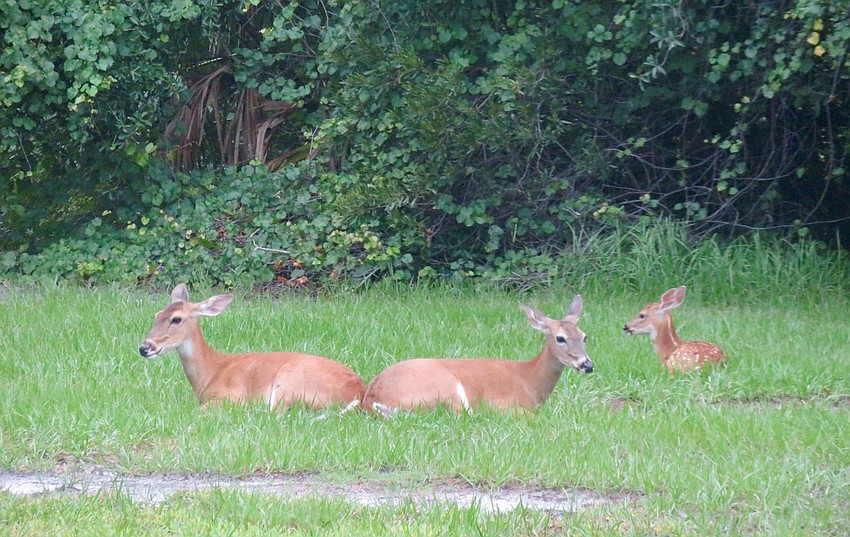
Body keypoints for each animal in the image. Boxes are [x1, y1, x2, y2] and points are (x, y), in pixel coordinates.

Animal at [139, 284, 366, 411]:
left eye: (176, 319)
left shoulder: (234, 396)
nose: (144, 347)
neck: (210, 374)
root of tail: (358, 393)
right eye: (157, 315)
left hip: (289, 382)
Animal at [362, 296, 593, 418]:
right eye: (560, 338)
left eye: (584, 336)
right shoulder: (506, 404)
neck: (530, 382)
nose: (587, 365)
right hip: (445, 387)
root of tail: (372, 400)